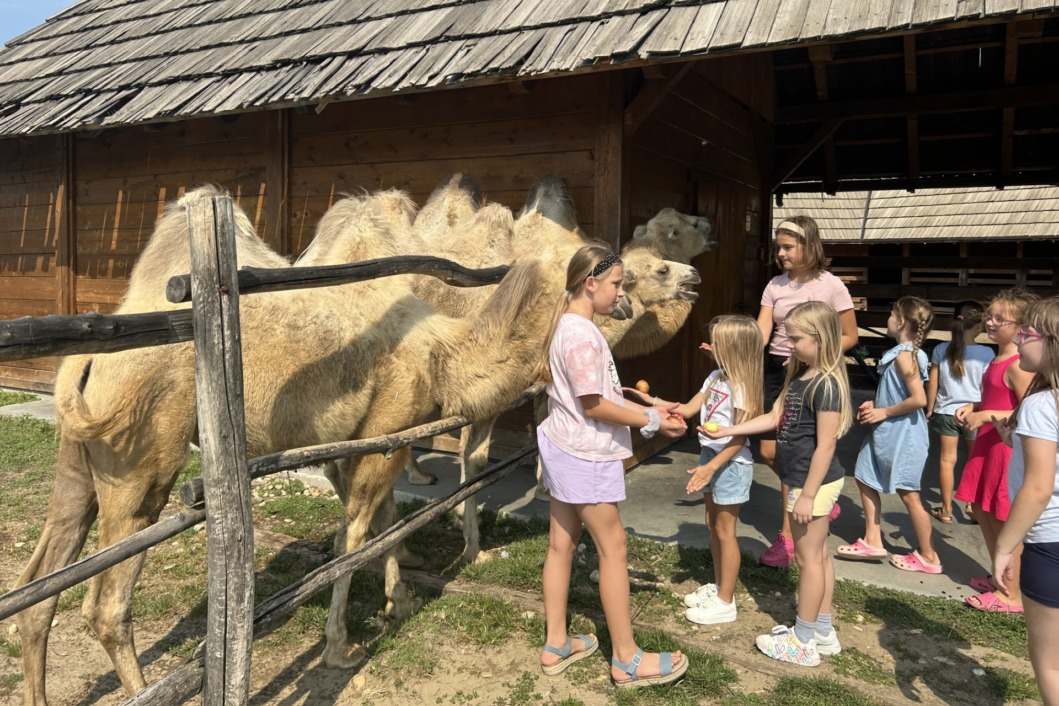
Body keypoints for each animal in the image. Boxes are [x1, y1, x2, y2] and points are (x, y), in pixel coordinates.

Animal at [14, 185, 554, 702]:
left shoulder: (358, 440)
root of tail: (83, 362)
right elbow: (353, 537)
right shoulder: (386, 429)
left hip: (82, 460)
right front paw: (342, 647)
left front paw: (400, 597)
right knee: (107, 604)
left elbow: (382, 521)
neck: (444, 352)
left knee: (37, 585)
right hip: (142, 460)